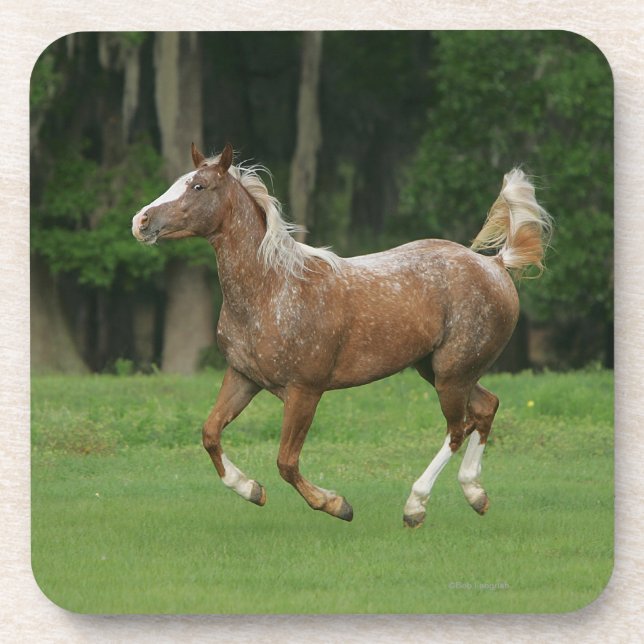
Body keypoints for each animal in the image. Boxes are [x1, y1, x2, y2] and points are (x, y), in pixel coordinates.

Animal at [131, 143, 552, 528]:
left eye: (198, 186)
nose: (140, 221)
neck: (272, 289)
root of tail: (495, 265)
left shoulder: (304, 391)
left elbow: (286, 462)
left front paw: (337, 505)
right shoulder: (243, 378)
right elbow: (210, 433)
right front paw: (251, 489)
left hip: (452, 373)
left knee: (456, 428)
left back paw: (415, 506)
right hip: (439, 370)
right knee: (485, 408)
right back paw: (475, 494)